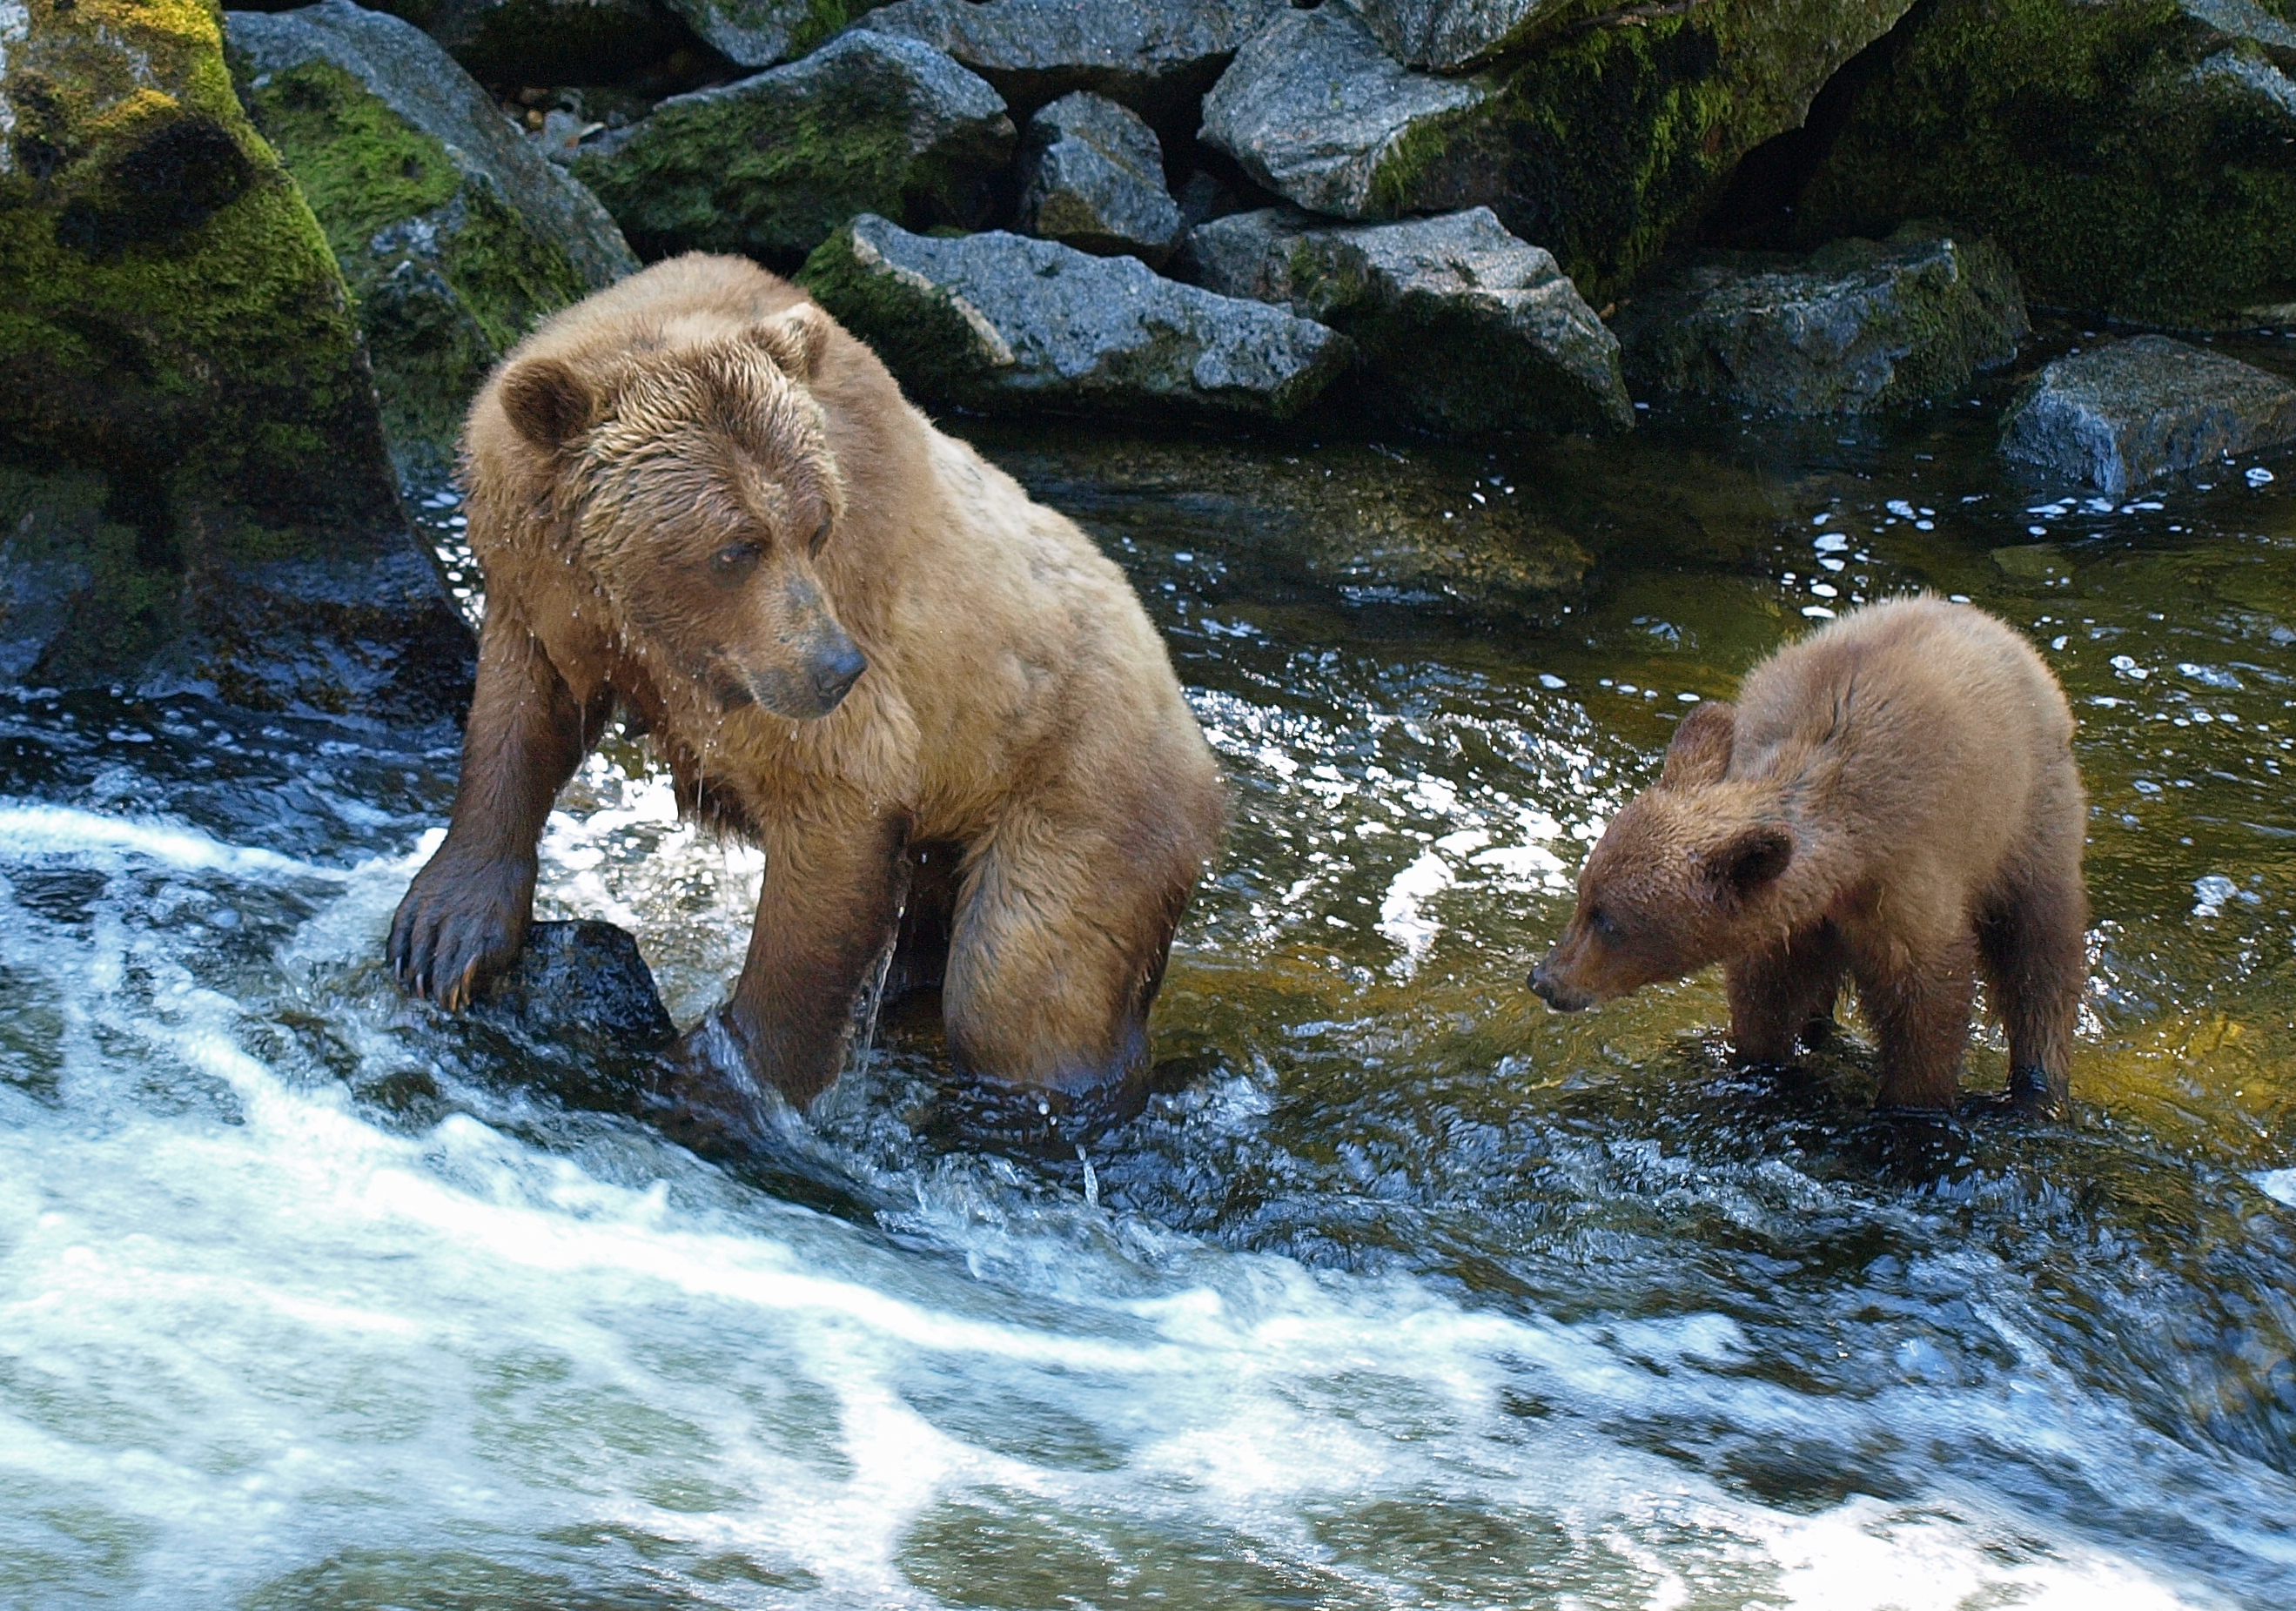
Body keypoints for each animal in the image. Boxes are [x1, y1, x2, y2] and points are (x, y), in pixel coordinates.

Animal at [387, 253, 1226, 1141]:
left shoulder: (803, 671)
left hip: (1080, 784)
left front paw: (728, 1077)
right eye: (734, 548)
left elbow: (837, 808)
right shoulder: (543, 584)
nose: (836, 666)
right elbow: (519, 717)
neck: (648, 622)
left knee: (1021, 982)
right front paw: (442, 933)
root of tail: (1193, 728)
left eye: (816, 527)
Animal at [1528, 596, 2087, 1115]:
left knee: (2039, 957)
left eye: (1609, 921)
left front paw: (1910, 1107)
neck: (1847, 862)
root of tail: (1999, 627)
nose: (1545, 980)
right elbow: (1765, 1001)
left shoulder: (1912, 886)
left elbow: (1928, 1009)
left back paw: (2039, 1088)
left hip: (2032, 823)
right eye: (1583, 896)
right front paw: (1758, 1063)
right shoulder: (1784, 924)